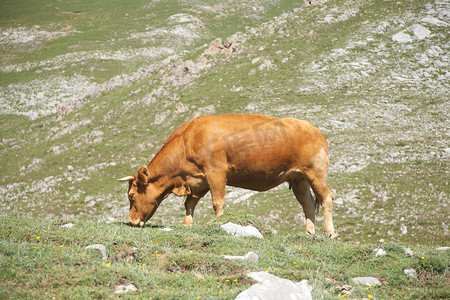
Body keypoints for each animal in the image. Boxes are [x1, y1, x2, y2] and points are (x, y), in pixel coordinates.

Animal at [118, 113, 336, 238]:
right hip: (298, 178)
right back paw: (309, 234)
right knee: (308, 204)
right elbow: (189, 204)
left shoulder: (216, 172)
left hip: (316, 172)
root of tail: (312, 128)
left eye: (131, 196)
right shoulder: (198, 181)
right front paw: (187, 225)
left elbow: (218, 202)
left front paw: (220, 223)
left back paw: (329, 232)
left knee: (326, 198)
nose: (132, 222)